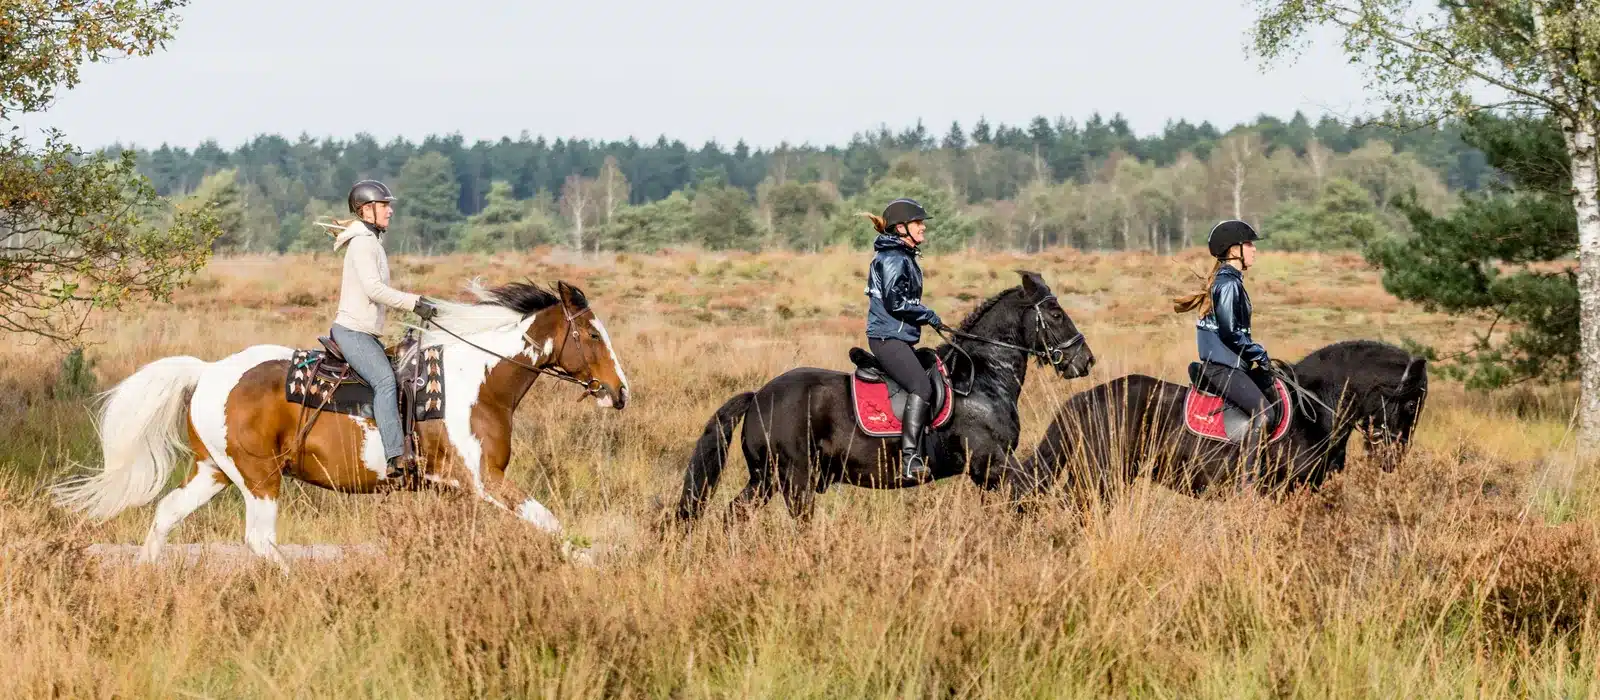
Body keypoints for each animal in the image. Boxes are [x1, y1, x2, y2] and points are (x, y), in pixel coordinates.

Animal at [52, 280, 630, 568]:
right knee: (260, 541)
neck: (477, 380)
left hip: (213, 471)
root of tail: (208, 370)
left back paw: (147, 577)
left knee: (167, 514)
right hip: (260, 478)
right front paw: (582, 564)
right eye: (593, 335)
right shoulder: (485, 481)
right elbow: (549, 522)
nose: (620, 392)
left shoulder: (455, 490)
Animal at [672, 271, 1096, 524]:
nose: (1085, 360)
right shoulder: (991, 464)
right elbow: (1029, 497)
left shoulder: (991, 471)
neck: (982, 378)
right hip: (795, 479)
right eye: (1056, 314)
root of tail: (759, 396)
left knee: (734, 515)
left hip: (765, 478)